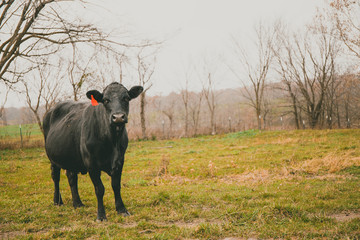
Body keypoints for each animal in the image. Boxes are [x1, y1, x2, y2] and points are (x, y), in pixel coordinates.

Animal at [42, 83, 142, 221]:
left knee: (72, 177)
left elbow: (116, 186)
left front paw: (122, 209)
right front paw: (101, 215)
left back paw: (77, 203)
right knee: (55, 177)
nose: (118, 117)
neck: (112, 142)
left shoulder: (120, 161)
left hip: (71, 158)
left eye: (126, 98)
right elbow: (99, 189)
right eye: (105, 100)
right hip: (53, 158)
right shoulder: (91, 164)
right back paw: (57, 201)